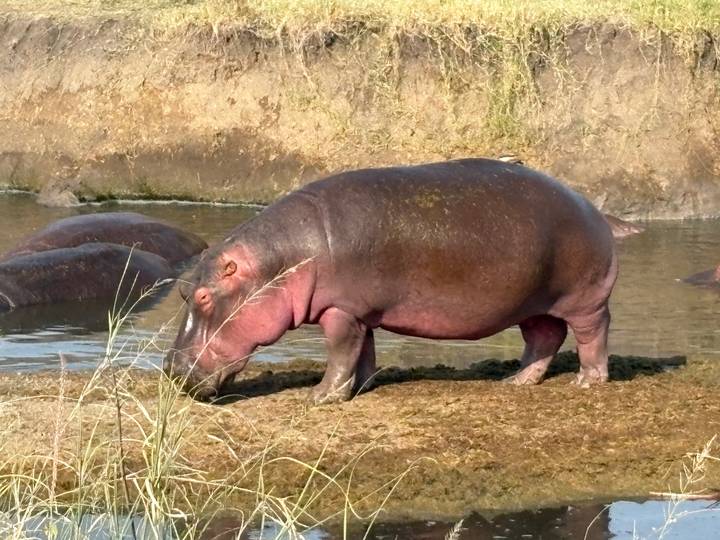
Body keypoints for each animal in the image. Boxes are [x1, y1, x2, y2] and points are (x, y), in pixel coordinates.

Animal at [165, 158, 618, 403]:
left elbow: (341, 352)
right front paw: (362, 387)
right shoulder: (360, 311)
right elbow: (363, 350)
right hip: (532, 302)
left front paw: (320, 397)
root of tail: (595, 210)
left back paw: (587, 382)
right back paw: (516, 382)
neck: (281, 260)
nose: (170, 369)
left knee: (591, 333)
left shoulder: (340, 310)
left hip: (584, 298)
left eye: (202, 296)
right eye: (183, 290)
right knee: (544, 337)